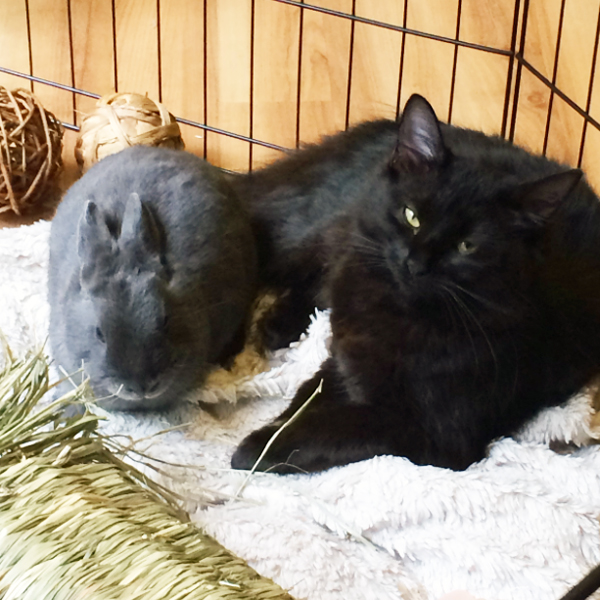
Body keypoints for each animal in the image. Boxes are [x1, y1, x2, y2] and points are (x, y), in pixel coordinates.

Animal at [232, 95, 600, 474]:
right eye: (412, 217)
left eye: (466, 246)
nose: (416, 264)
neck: (398, 311)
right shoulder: (345, 359)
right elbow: (308, 395)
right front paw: (272, 430)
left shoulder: (434, 431)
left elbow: (331, 425)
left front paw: (258, 447)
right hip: (309, 231)